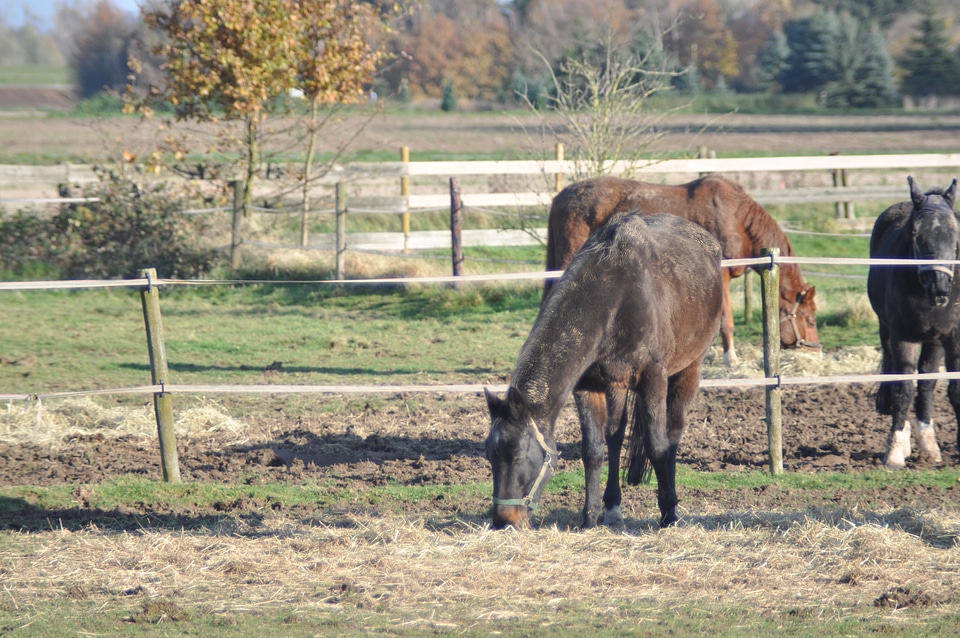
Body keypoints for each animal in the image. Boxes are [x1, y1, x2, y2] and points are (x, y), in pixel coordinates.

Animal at [488, 214, 720, 528]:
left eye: (517, 456)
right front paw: (591, 515)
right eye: (490, 456)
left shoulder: (653, 379)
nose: (504, 520)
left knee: (672, 434)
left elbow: (657, 445)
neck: (614, 296)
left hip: (688, 370)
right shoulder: (589, 386)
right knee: (615, 436)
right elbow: (594, 449)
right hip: (617, 385)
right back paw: (612, 507)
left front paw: (669, 513)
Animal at [544, 175, 820, 368]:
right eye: (810, 320)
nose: (815, 351)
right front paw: (730, 358)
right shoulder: (722, 274)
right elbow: (726, 321)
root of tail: (560, 198)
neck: (737, 219)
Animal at [868, 175, 956, 470]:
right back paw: (906, 442)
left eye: (955, 234)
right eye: (917, 234)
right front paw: (894, 453)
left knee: (927, 384)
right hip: (887, 332)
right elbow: (904, 388)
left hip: (932, 341)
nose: (940, 289)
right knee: (897, 380)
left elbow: (948, 387)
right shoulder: (903, 337)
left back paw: (928, 445)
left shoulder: (950, 337)